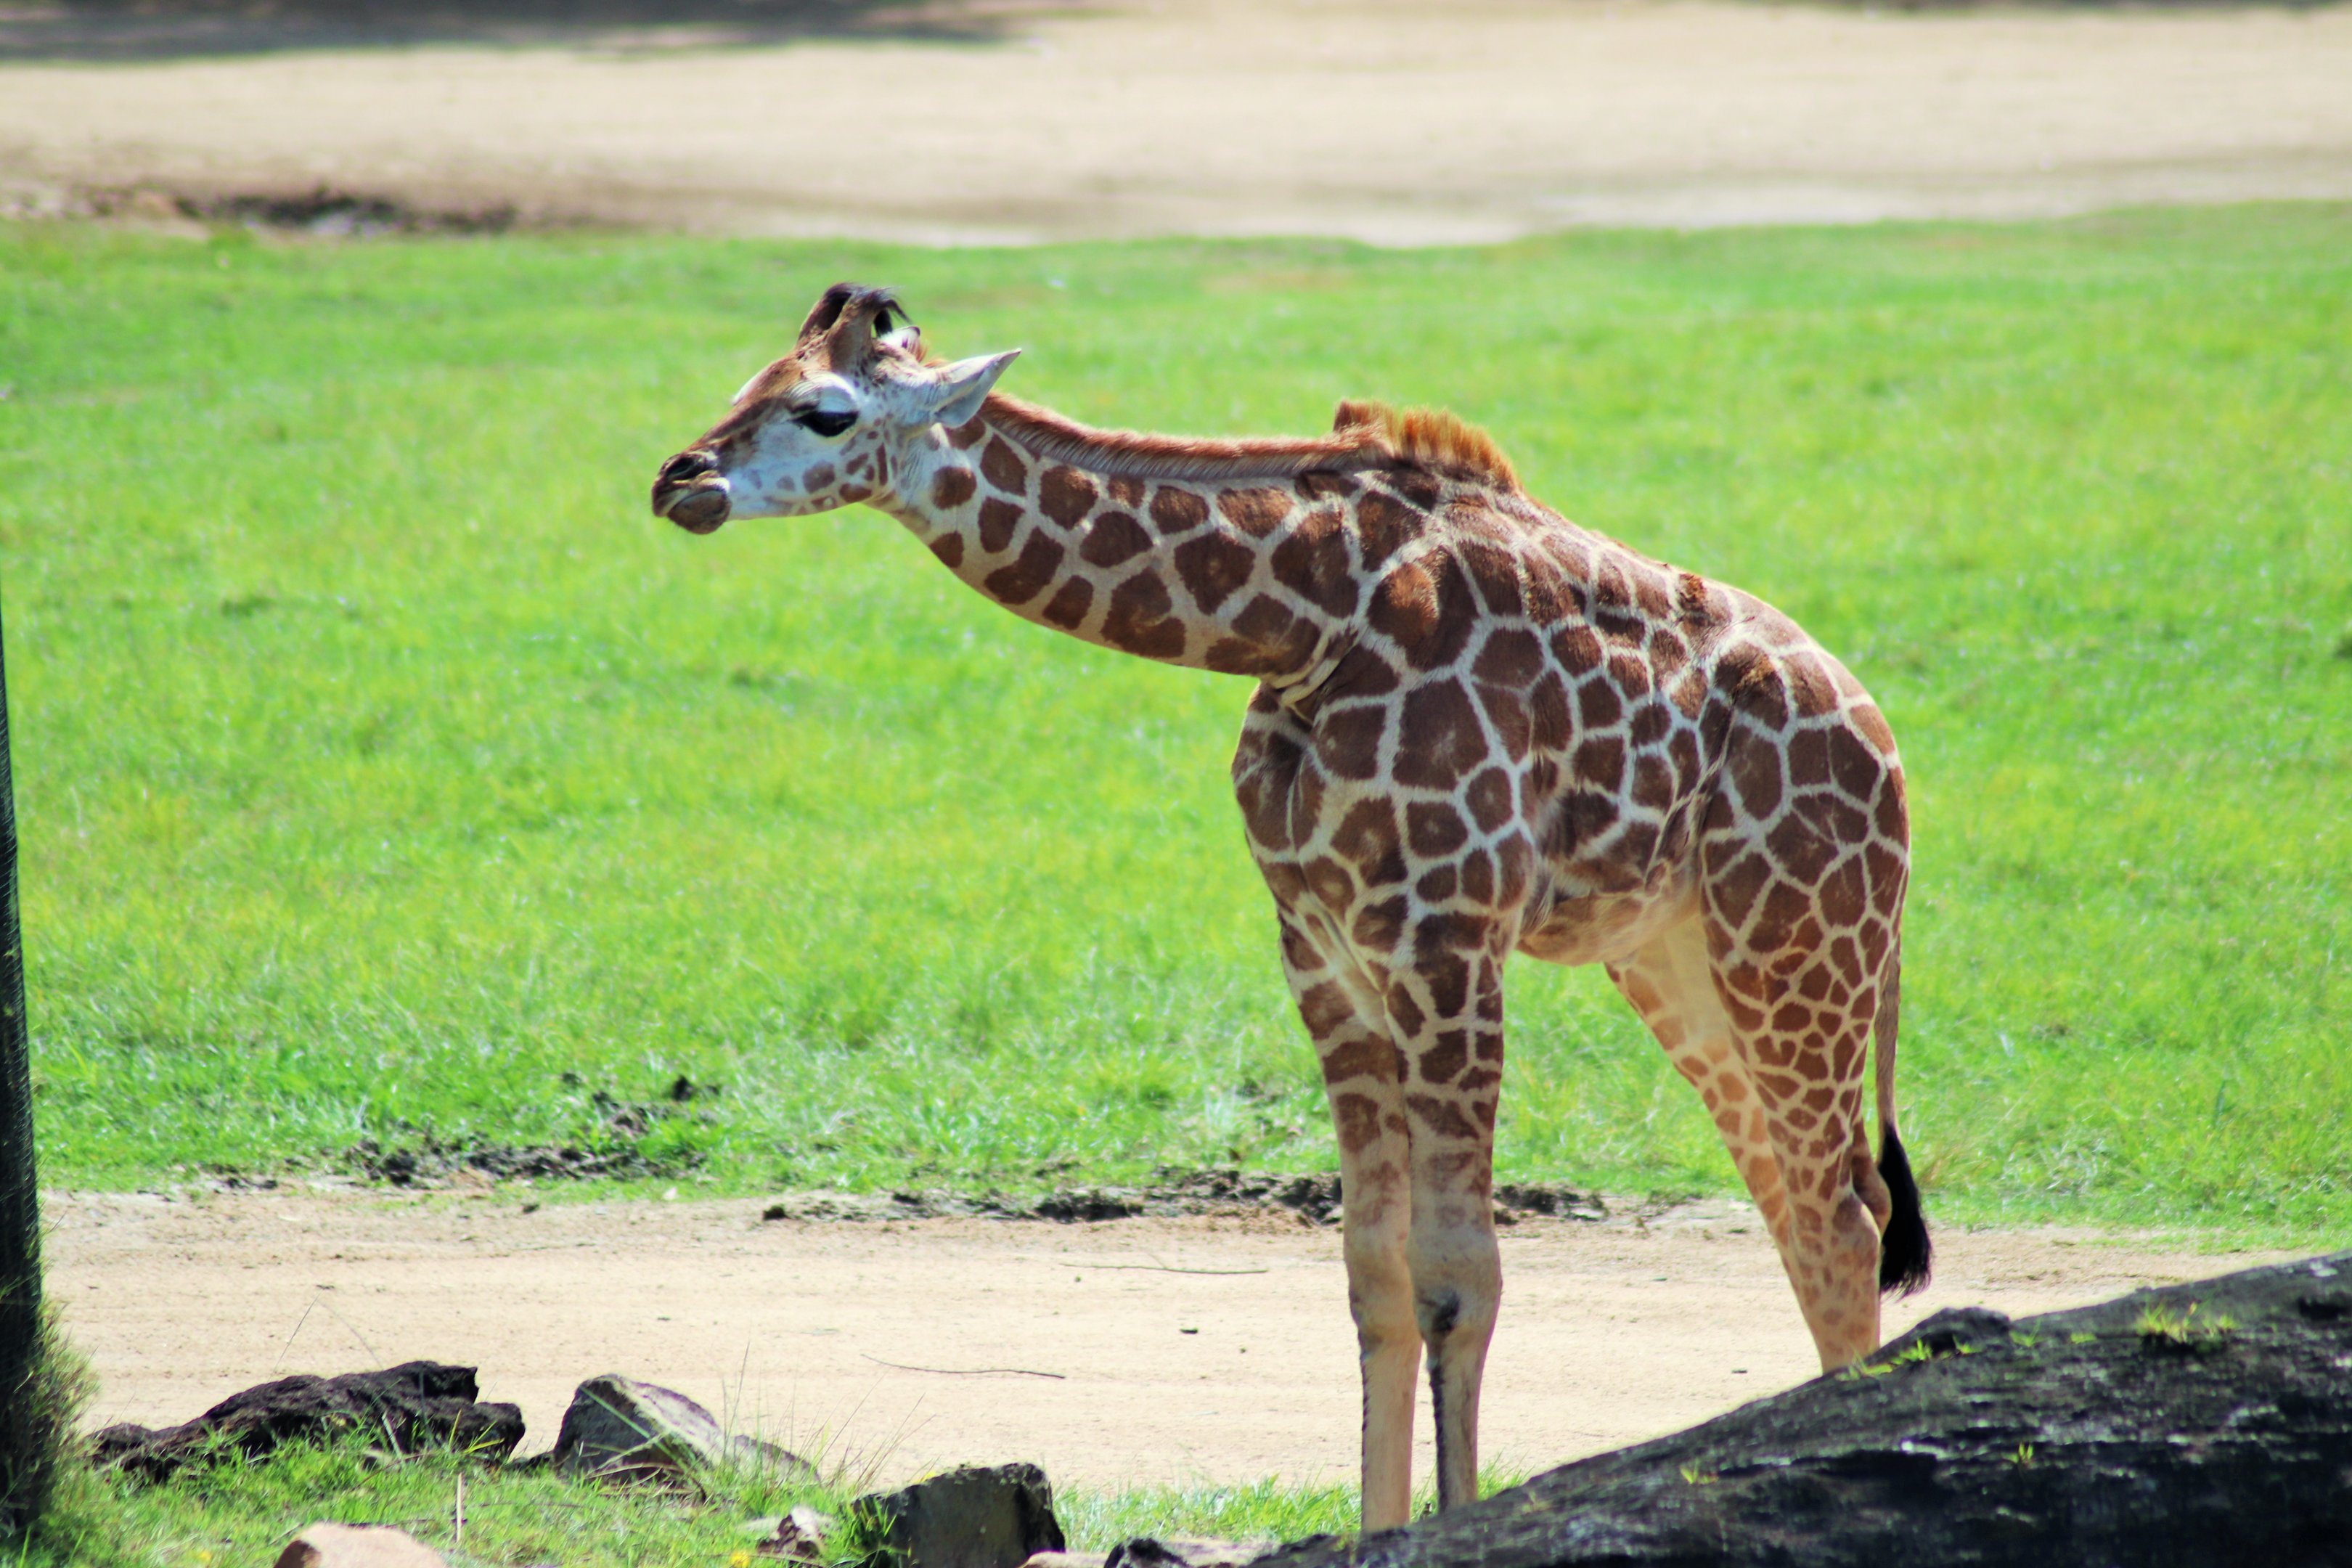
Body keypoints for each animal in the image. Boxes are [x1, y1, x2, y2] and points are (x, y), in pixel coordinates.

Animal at [652, 283, 1931, 1532]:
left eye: (823, 412)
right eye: (749, 381)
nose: (680, 481)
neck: (1311, 617)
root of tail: (1891, 761)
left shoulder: (1448, 939)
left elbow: (1461, 1276)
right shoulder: (1324, 955)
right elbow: (1376, 1279)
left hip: (1798, 950)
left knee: (1840, 1222)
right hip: (1681, 963)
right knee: (1806, 1215)